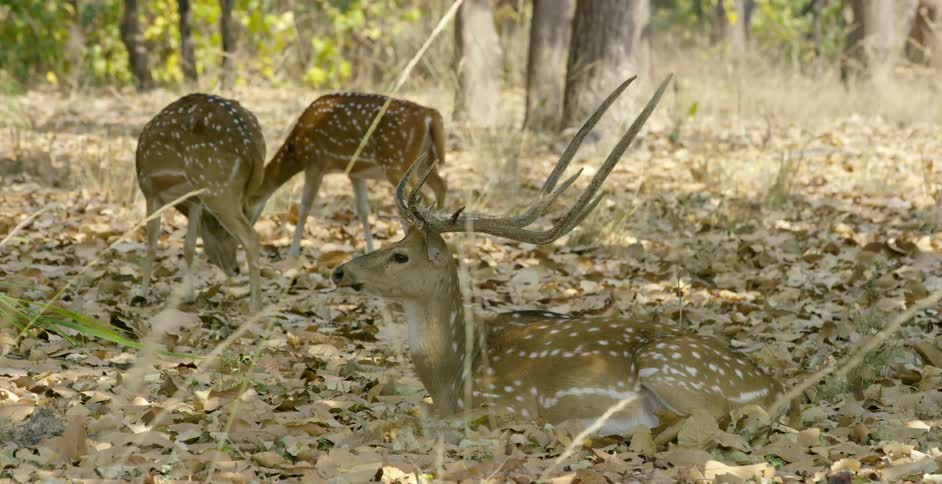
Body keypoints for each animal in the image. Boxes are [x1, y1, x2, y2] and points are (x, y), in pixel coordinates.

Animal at [135, 93, 265, 311]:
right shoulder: (194, 199)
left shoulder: (150, 190)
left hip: (217, 187)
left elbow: (152, 242)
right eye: (220, 232)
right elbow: (188, 245)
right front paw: (189, 296)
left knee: (251, 238)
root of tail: (252, 145)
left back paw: (255, 307)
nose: (235, 269)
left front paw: (140, 295)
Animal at [244, 92, 447, 257]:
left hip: (397, 161)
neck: (296, 152)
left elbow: (304, 207)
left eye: (244, 203)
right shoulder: (355, 173)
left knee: (417, 198)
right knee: (441, 185)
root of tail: (430, 115)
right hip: (426, 159)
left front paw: (293, 253)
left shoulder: (315, 163)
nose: (248, 225)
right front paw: (370, 248)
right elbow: (363, 210)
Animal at [331, 76, 786, 435]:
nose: (339, 272)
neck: (451, 372)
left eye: (401, 256)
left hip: (671, 367)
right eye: (391, 242)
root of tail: (778, 390)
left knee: (710, 419)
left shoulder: (504, 403)